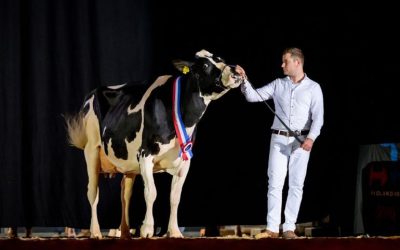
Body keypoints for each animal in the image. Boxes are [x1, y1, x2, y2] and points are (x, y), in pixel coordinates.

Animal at [65, 49, 244, 239]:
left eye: (221, 59)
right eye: (204, 65)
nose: (236, 70)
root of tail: (92, 93)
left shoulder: (185, 161)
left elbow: (175, 197)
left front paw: (174, 231)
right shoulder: (145, 154)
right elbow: (151, 193)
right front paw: (147, 230)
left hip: (128, 165)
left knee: (125, 195)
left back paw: (125, 233)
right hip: (91, 150)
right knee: (93, 192)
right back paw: (96, 232)